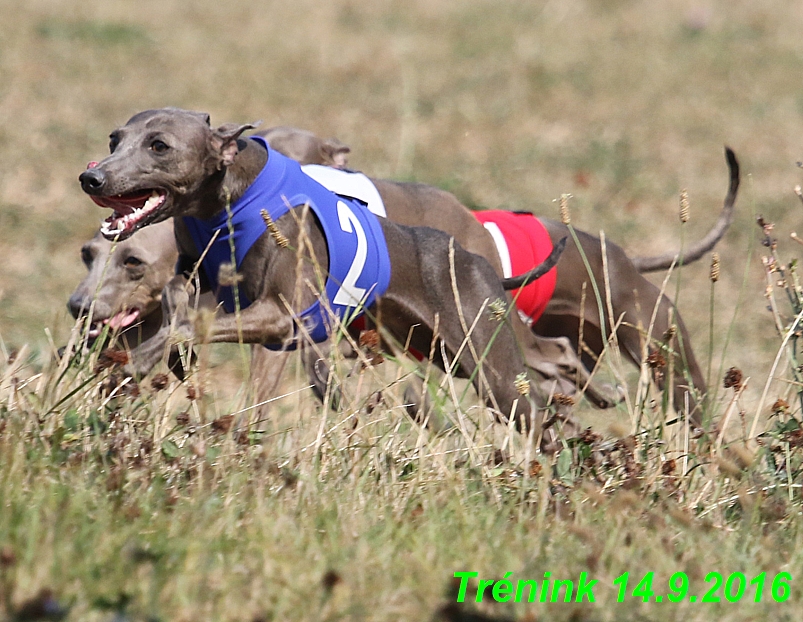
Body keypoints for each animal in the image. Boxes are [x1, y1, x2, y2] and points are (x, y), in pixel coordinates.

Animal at [80, 107, 572, 448]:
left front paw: (139, 361)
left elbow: (187, 325)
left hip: (492, 367)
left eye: (159, 145)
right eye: (114, 139)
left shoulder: (283, 317)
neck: (228, 200)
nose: (91, 178)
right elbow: (176, 304)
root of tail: (480, 263)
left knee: (539, 415)